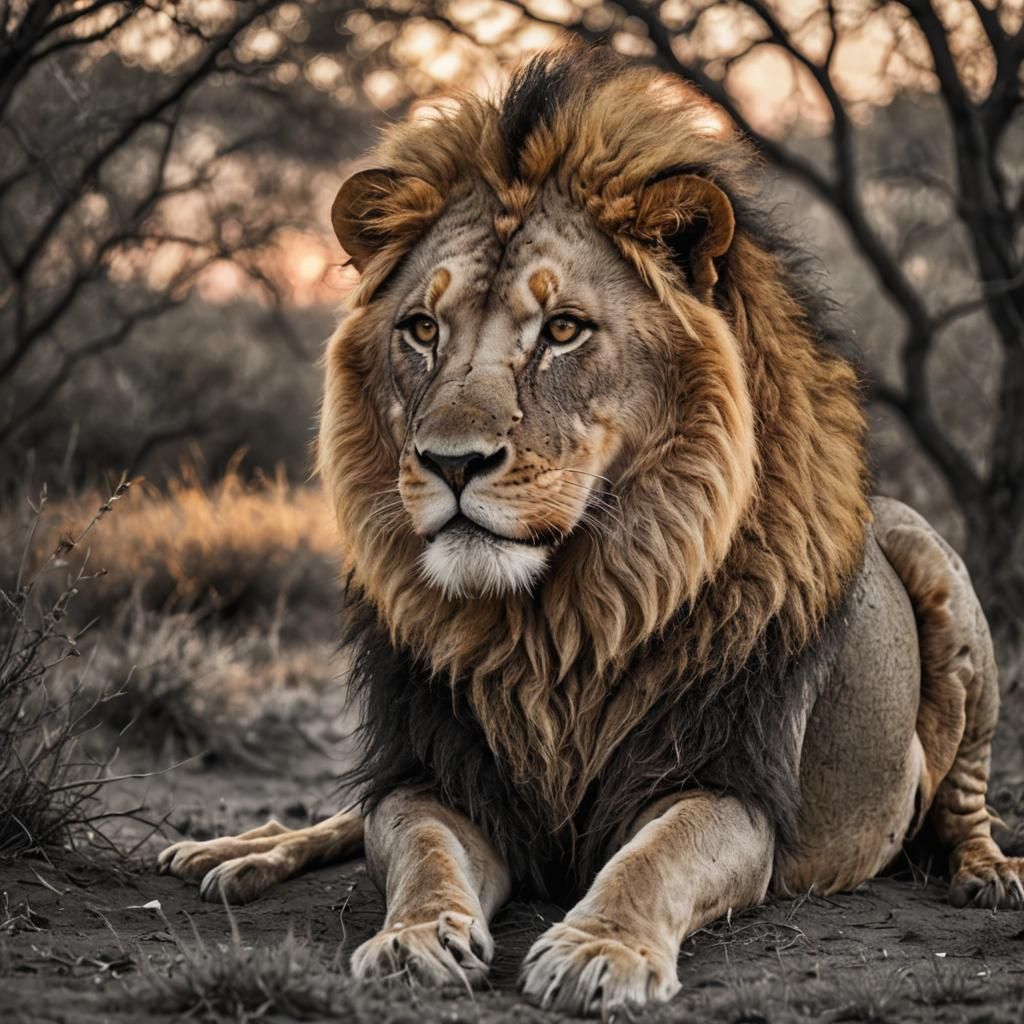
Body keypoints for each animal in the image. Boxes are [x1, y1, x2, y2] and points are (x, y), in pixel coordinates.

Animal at [159, 47, 1023, 1016]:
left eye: (563, 330)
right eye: (421, 328)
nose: (451, 462)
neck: (551, 623)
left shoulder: (726, 781)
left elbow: (655, 859)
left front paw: (598, 951)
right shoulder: (441, 769)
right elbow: (415, 846)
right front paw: (415, 936)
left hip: (932, 561)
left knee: (966, 794)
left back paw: (988, 873)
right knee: (351, 811)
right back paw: (239, 852)